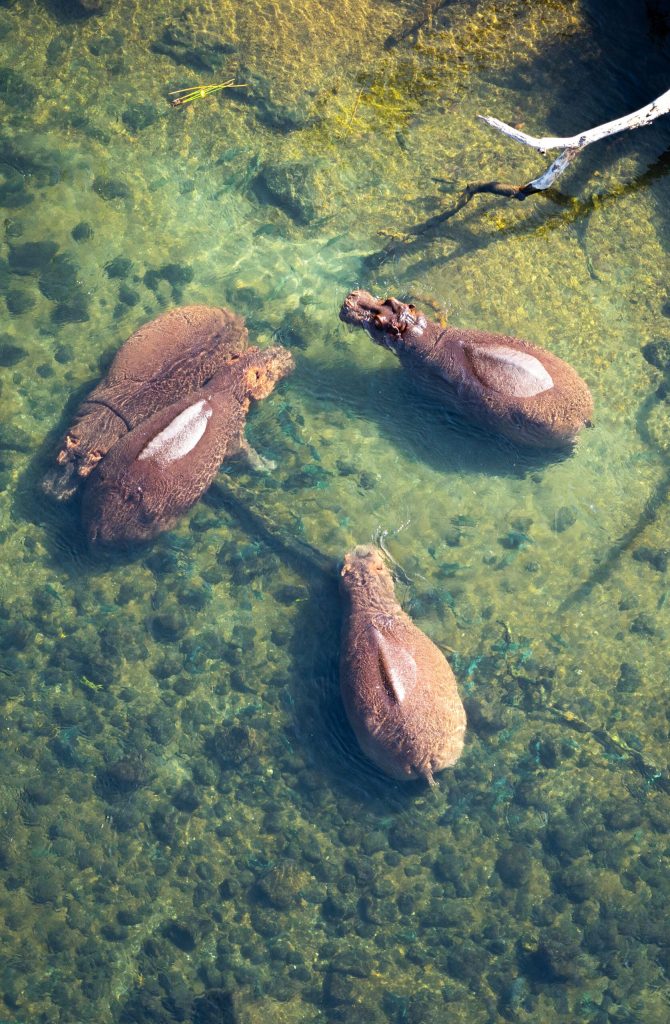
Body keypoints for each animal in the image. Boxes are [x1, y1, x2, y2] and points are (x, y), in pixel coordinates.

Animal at [82, 345, 294, 544]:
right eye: (270, 363)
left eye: (256, 349)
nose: (285, 350)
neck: (226, 385)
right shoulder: (237, 434)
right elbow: (248, 454)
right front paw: (269, 466)